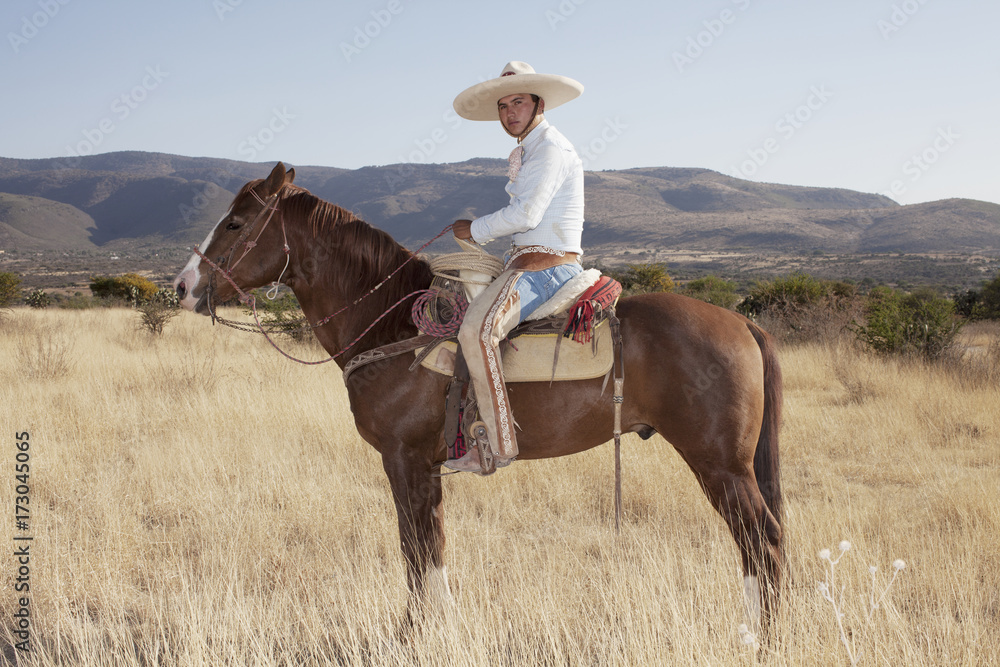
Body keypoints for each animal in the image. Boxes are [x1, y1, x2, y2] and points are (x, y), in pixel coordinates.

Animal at [172, 160, 784, 636]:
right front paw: (440, 623)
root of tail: (743, 323)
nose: (183, 287)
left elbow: (414, 549)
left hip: (720, 464)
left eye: (235, 222)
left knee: (765, 543)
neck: (392, 323)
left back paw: (760, 636)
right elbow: (433, 545)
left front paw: (414, 631)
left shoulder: (403, 459)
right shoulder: (425, 466)